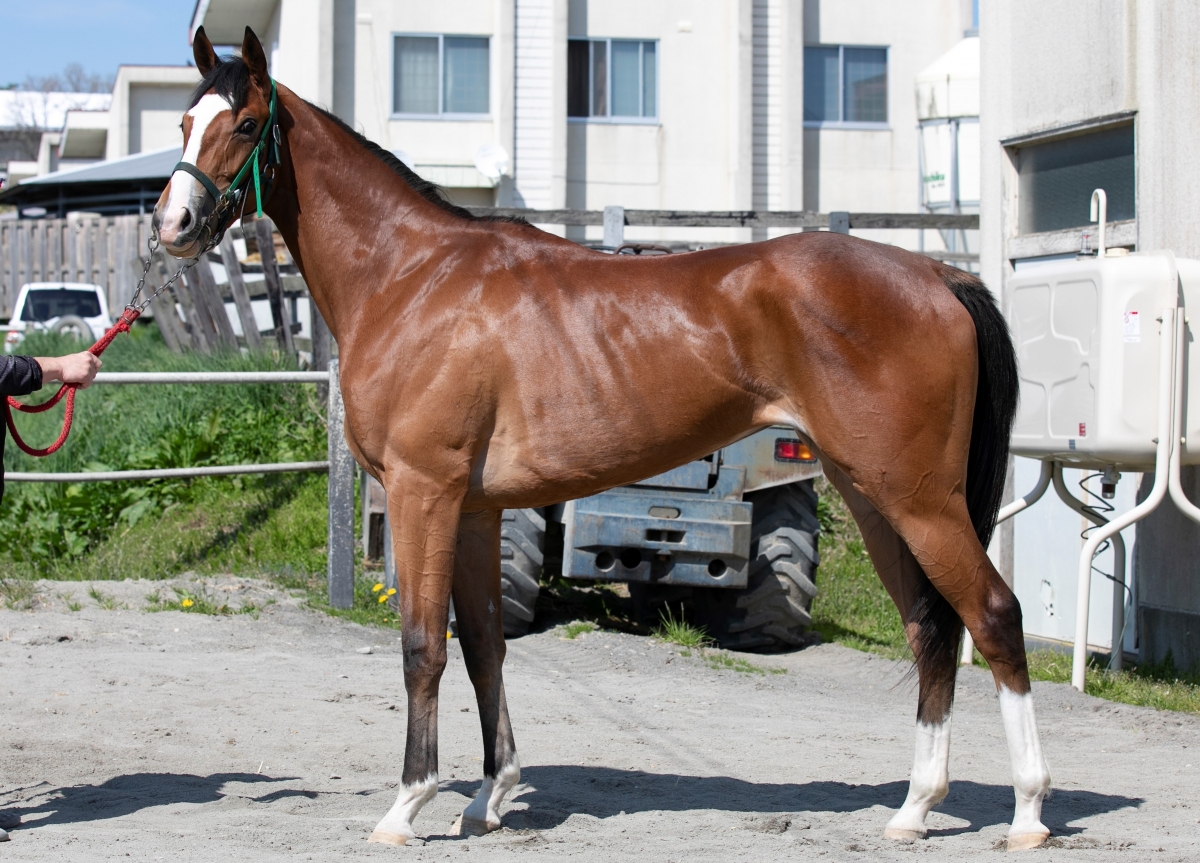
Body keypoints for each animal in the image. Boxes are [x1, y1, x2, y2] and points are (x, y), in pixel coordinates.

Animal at [153, 26, 1053, 852]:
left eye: (245, 123)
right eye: (185, 120)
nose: (174, 223)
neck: (412, 277)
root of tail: (940, 274)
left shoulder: (423, 491)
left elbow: (420, 644)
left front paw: (407, 805)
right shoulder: (476, 508)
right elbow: (485, 646)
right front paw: (489, 798)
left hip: (919, 499)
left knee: (993, 615)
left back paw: (1028, 813)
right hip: (874, 496)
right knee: (930, 628)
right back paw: (913, 809)